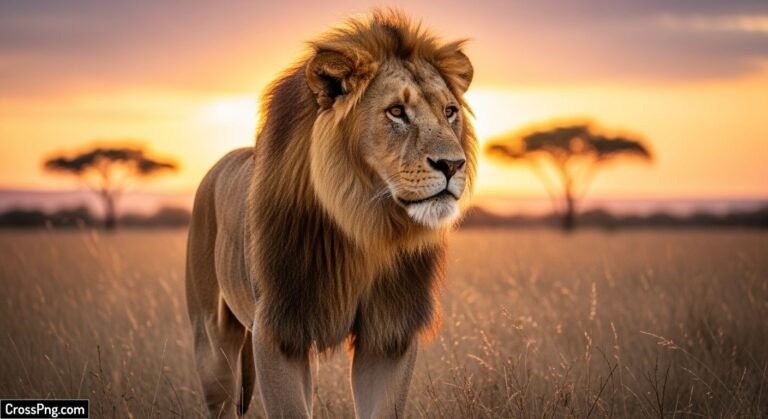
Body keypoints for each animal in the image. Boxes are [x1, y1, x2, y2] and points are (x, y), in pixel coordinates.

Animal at [185, 10, 476, 418]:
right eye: (397, 112)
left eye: (449, 112)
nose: (452, 164)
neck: (365, 225)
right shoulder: (280, 328)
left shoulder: (390, 333)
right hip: (211, 340)